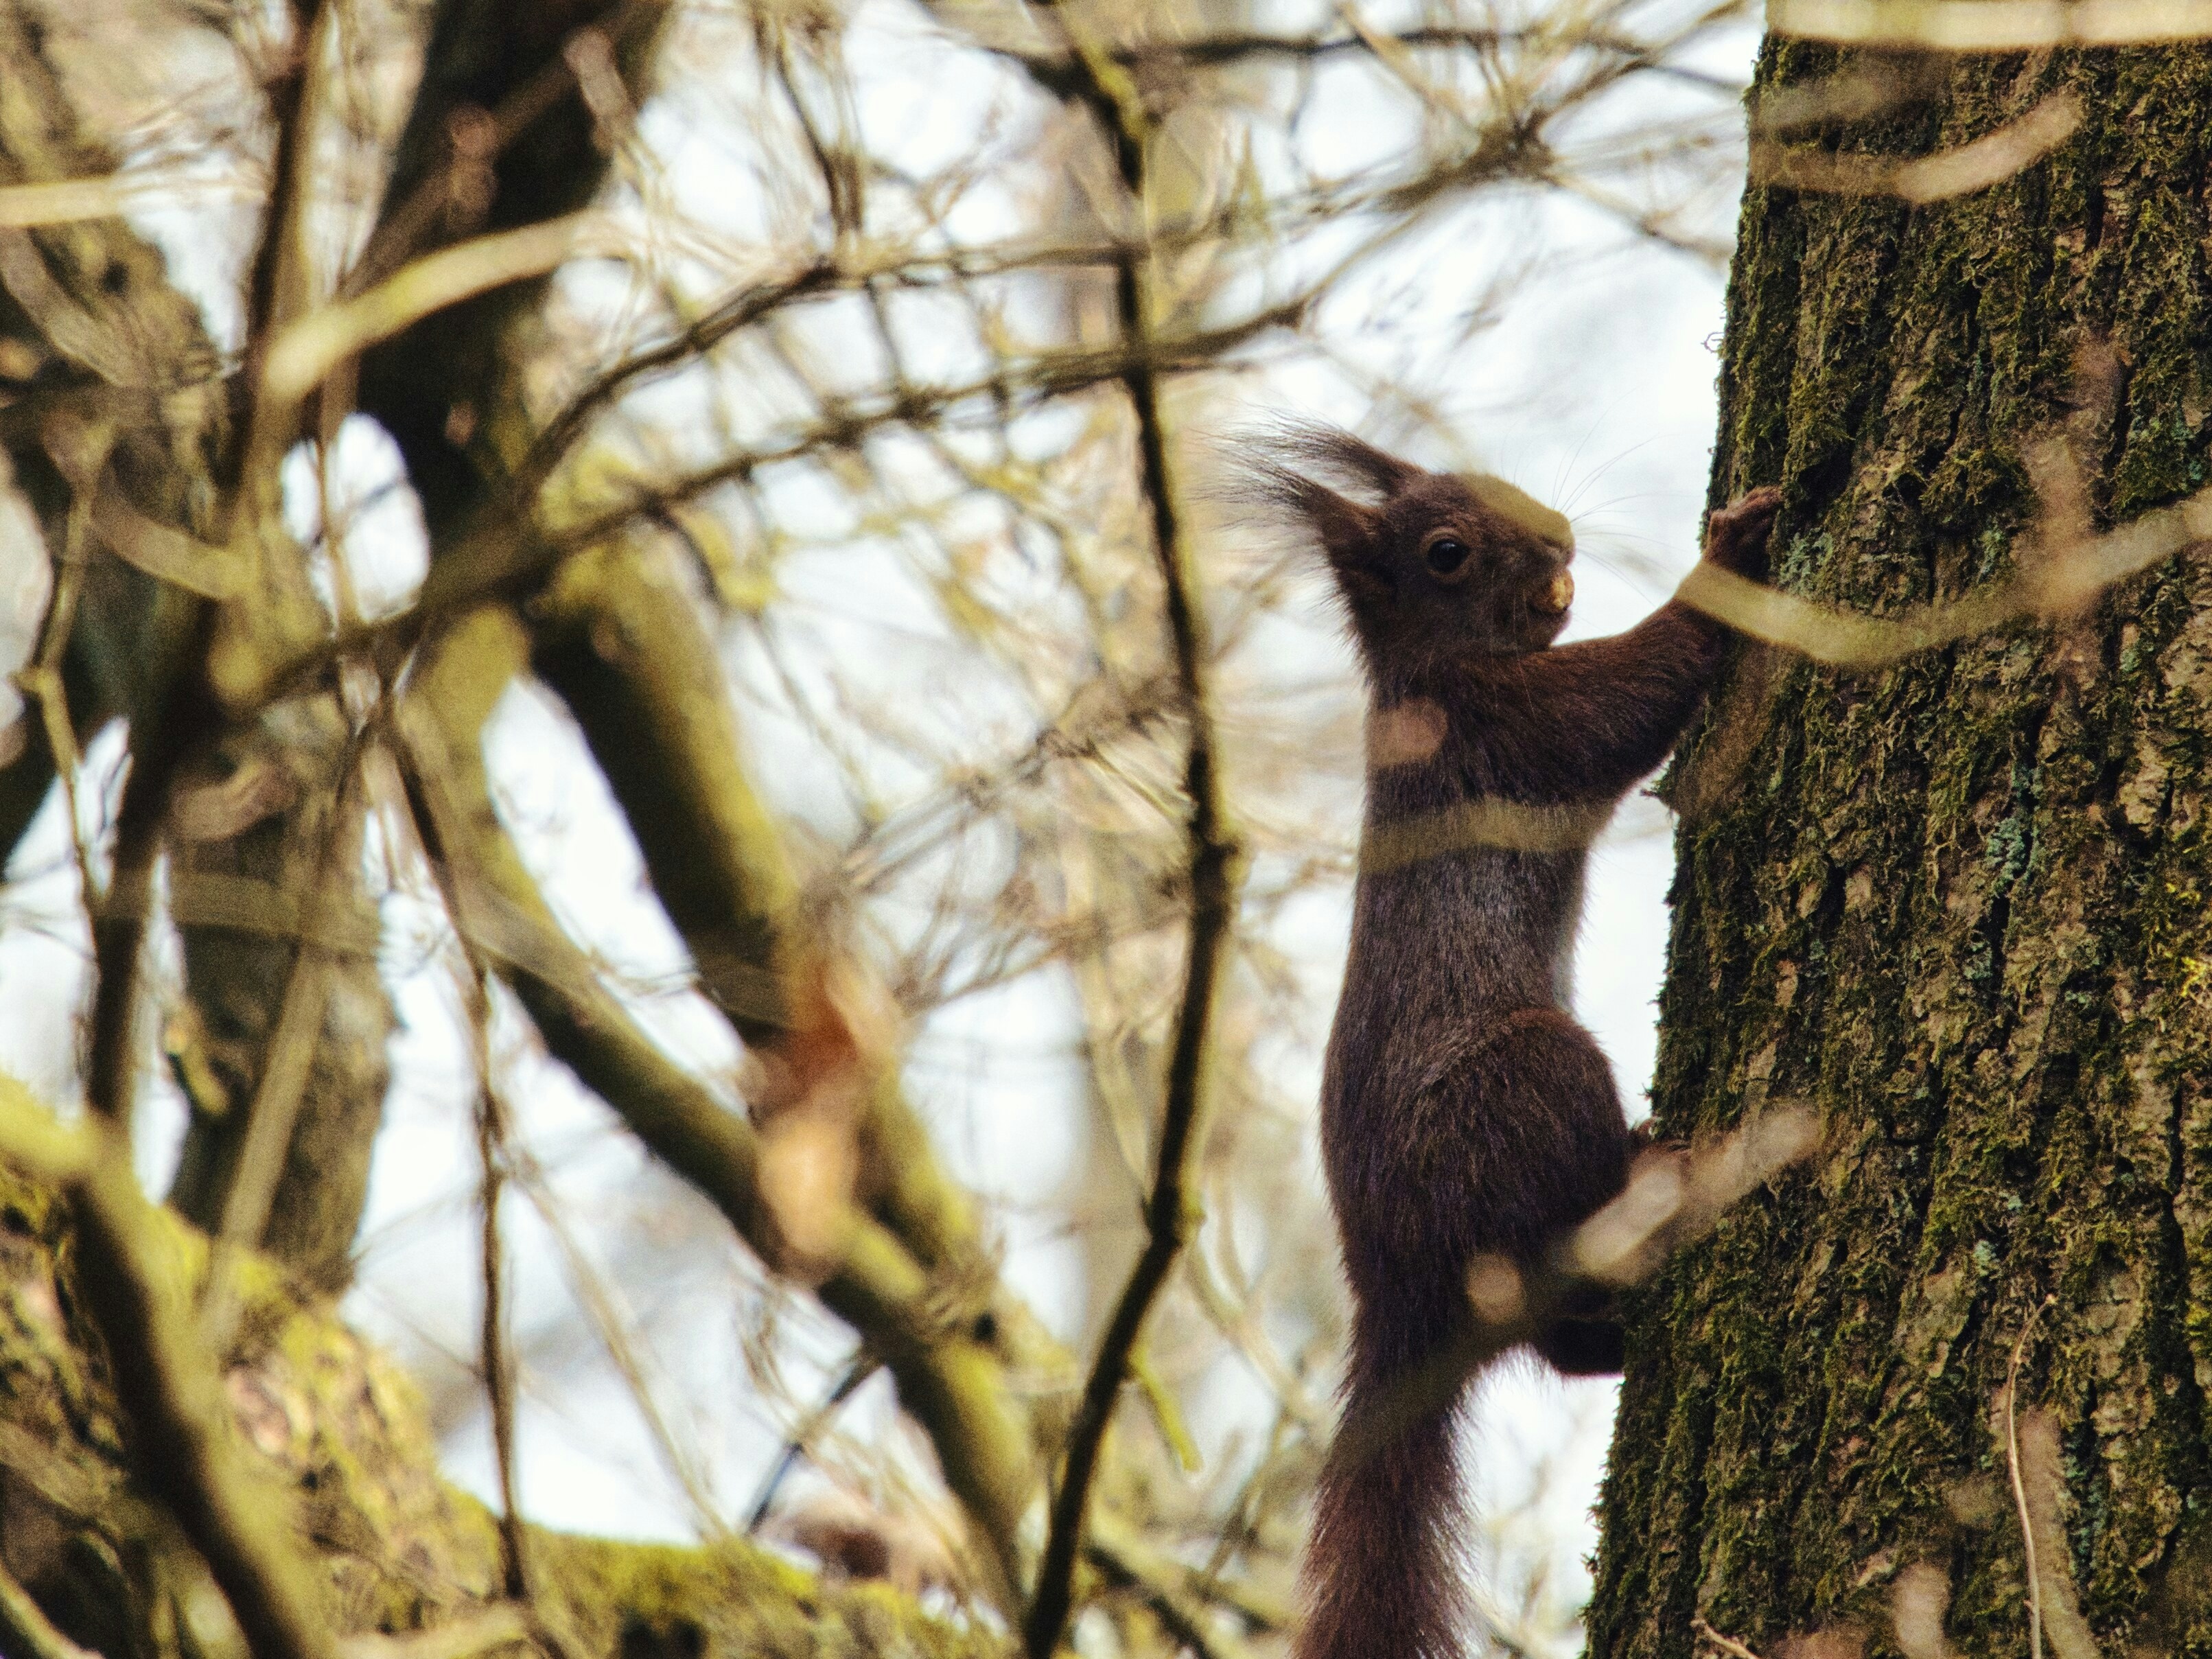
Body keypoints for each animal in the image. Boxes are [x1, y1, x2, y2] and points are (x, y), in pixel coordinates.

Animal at [1243, 427, 1780, 1659]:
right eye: (1446, 551)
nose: (1557, 537)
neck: (1428, 677)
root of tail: (1397, 1294)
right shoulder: (1519, 724)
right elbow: (1634, 688)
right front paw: (1730, 553)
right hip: (1530, 1076)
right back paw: (1646, 1181)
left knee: (1561, 1339)